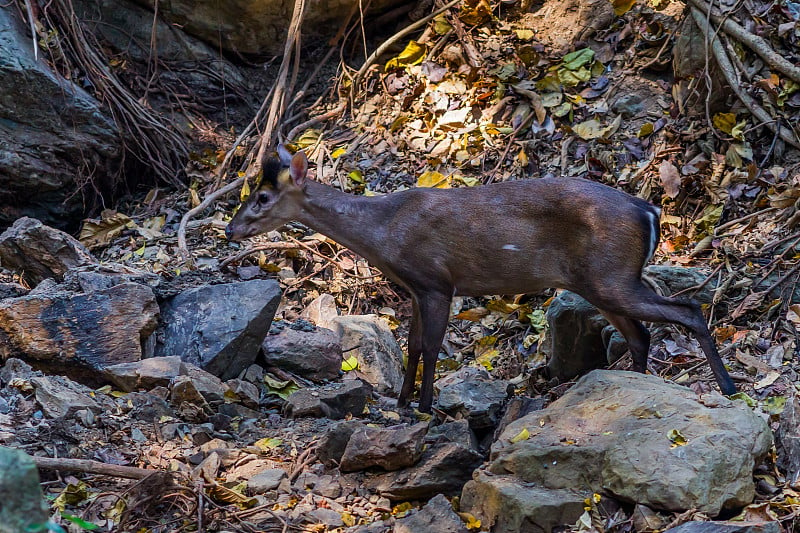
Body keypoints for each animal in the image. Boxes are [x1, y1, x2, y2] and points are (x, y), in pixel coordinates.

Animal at [225, 145, 736, 412]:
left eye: (263, 197)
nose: (231, 229)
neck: (385, 232)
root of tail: (650, 211)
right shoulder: (416, 288)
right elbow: (412, 345)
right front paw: (403, 403)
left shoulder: (436, 281)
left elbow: (432, 347)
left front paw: (424, 407)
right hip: (603, 281)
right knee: (641, 334)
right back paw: (636, 387)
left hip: (611, 275)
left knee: (687, 309)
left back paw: (728, 388)